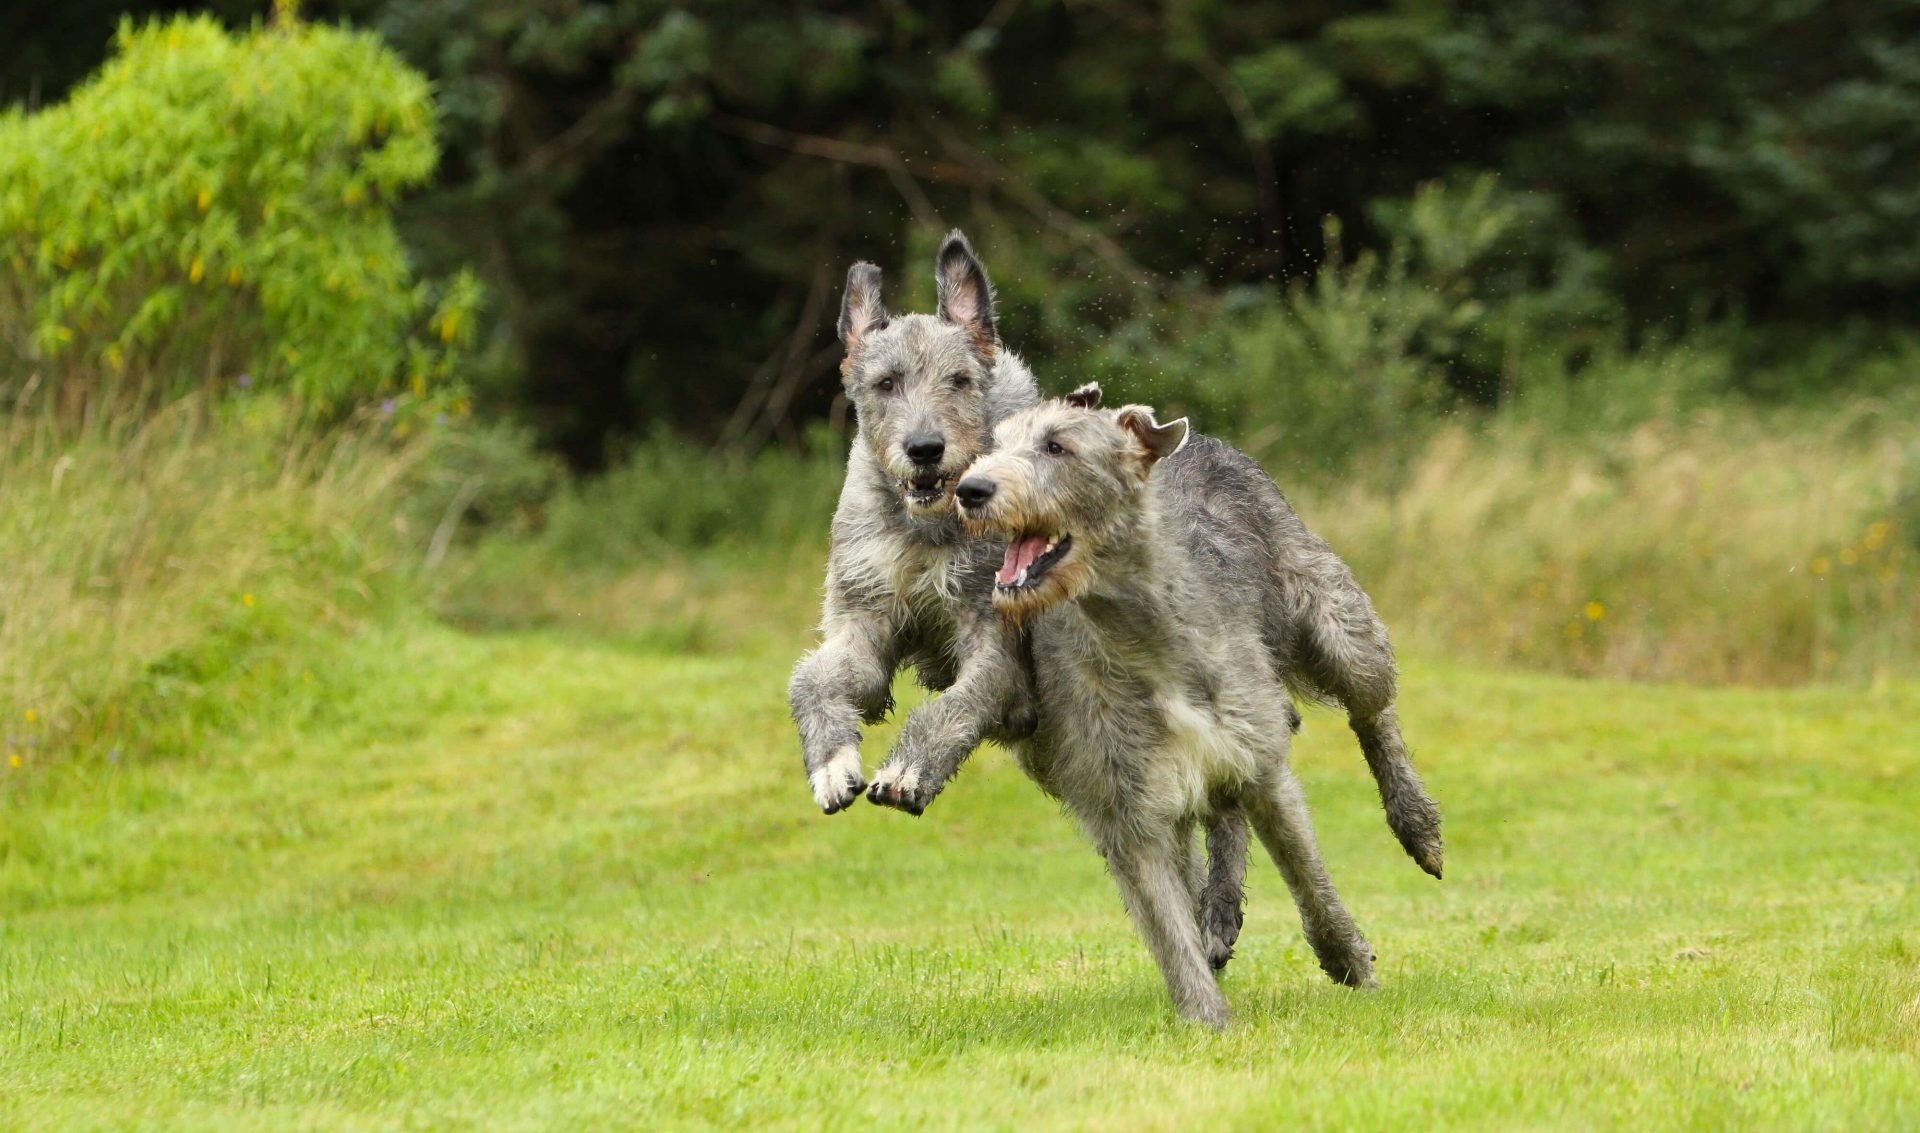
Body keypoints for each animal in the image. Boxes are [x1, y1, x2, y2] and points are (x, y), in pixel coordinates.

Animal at [917, 385, 1443, 1029]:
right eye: (991, 447)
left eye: (1057, 446)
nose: (970, 490)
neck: (1141, 636)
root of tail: (1205, 441)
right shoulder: (1124, 803)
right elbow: (1167, 924)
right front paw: (1207, 1019)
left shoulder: (1262, 762)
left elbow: (1308, 874)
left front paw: (1349, 958)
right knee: (1219, 819)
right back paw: (1217, 911)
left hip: (1331, 615)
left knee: (1371, 710)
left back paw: (1417, 824)